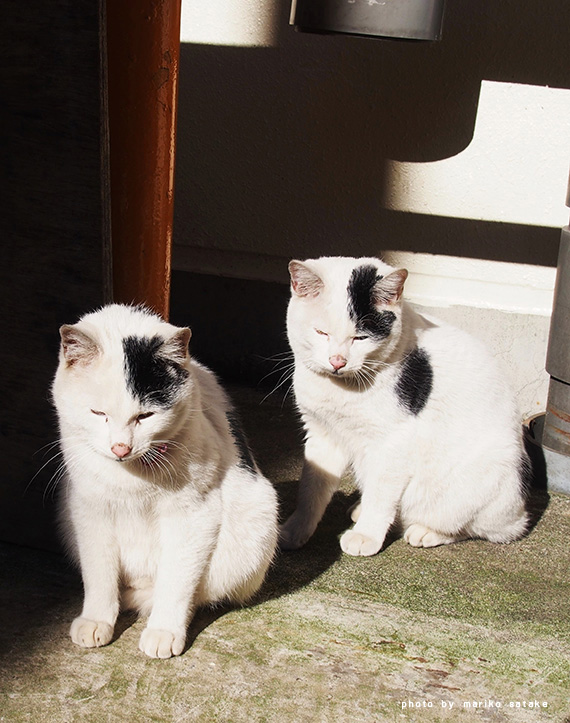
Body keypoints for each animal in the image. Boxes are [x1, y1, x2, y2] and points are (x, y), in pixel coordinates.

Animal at [52, 302, 278, 660]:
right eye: (98, 414)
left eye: (145, 416)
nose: (120, 447)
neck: (131, 477)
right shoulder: (89, 509)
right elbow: (99, 573)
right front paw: (97, 619)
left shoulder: (193, 515)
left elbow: (176, 580)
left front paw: (163, 631)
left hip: (257, 519)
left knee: (194, 592)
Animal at [280, 258, 528, 556]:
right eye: (321, 333)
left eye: (360, 338)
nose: (337, 361)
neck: (340, 389)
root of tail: (519, 509)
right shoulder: (321, 434)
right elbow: (311, 490)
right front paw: (295, 530)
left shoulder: (392, 443)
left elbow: (381, 496)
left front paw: (366, 535)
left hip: (485, 477)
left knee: (478, 528)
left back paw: (425, 531)